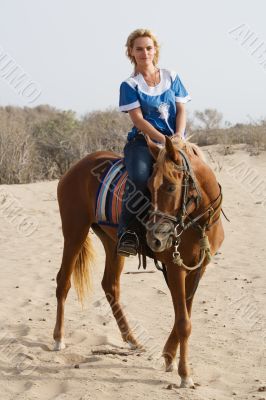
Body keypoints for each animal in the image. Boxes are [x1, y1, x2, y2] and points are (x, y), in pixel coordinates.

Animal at [53, 134, 223, 388]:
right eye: (149, 187)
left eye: (171, 186)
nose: (155, 239)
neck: (197, 222)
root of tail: (74, 168)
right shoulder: (175, 268)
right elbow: (184, 322)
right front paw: (184, 374)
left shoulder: (197, 269)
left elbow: (185, 315)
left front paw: (169, 356)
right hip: (75, 232)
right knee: (63, 281)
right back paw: (58, 338)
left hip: (112, 242)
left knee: (110, 285)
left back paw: (131, 339)